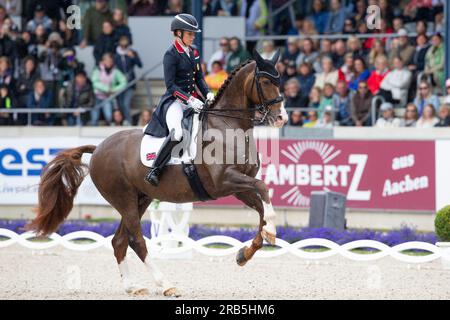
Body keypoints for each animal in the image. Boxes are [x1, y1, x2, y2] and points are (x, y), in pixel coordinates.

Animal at [28, 50, 288, 298]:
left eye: (280, 80)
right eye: (265, 81)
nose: (281, 118)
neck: (226, 126)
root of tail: (99, 147)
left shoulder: (239, 187)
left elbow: (261, 208)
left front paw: (247, 252)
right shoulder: (224, 182)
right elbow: (263, 188)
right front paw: (271, 230)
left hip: (140, 199)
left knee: (119, 241)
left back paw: (132, 287)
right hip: (124, 199)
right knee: (136, 240)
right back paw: (166, 285)